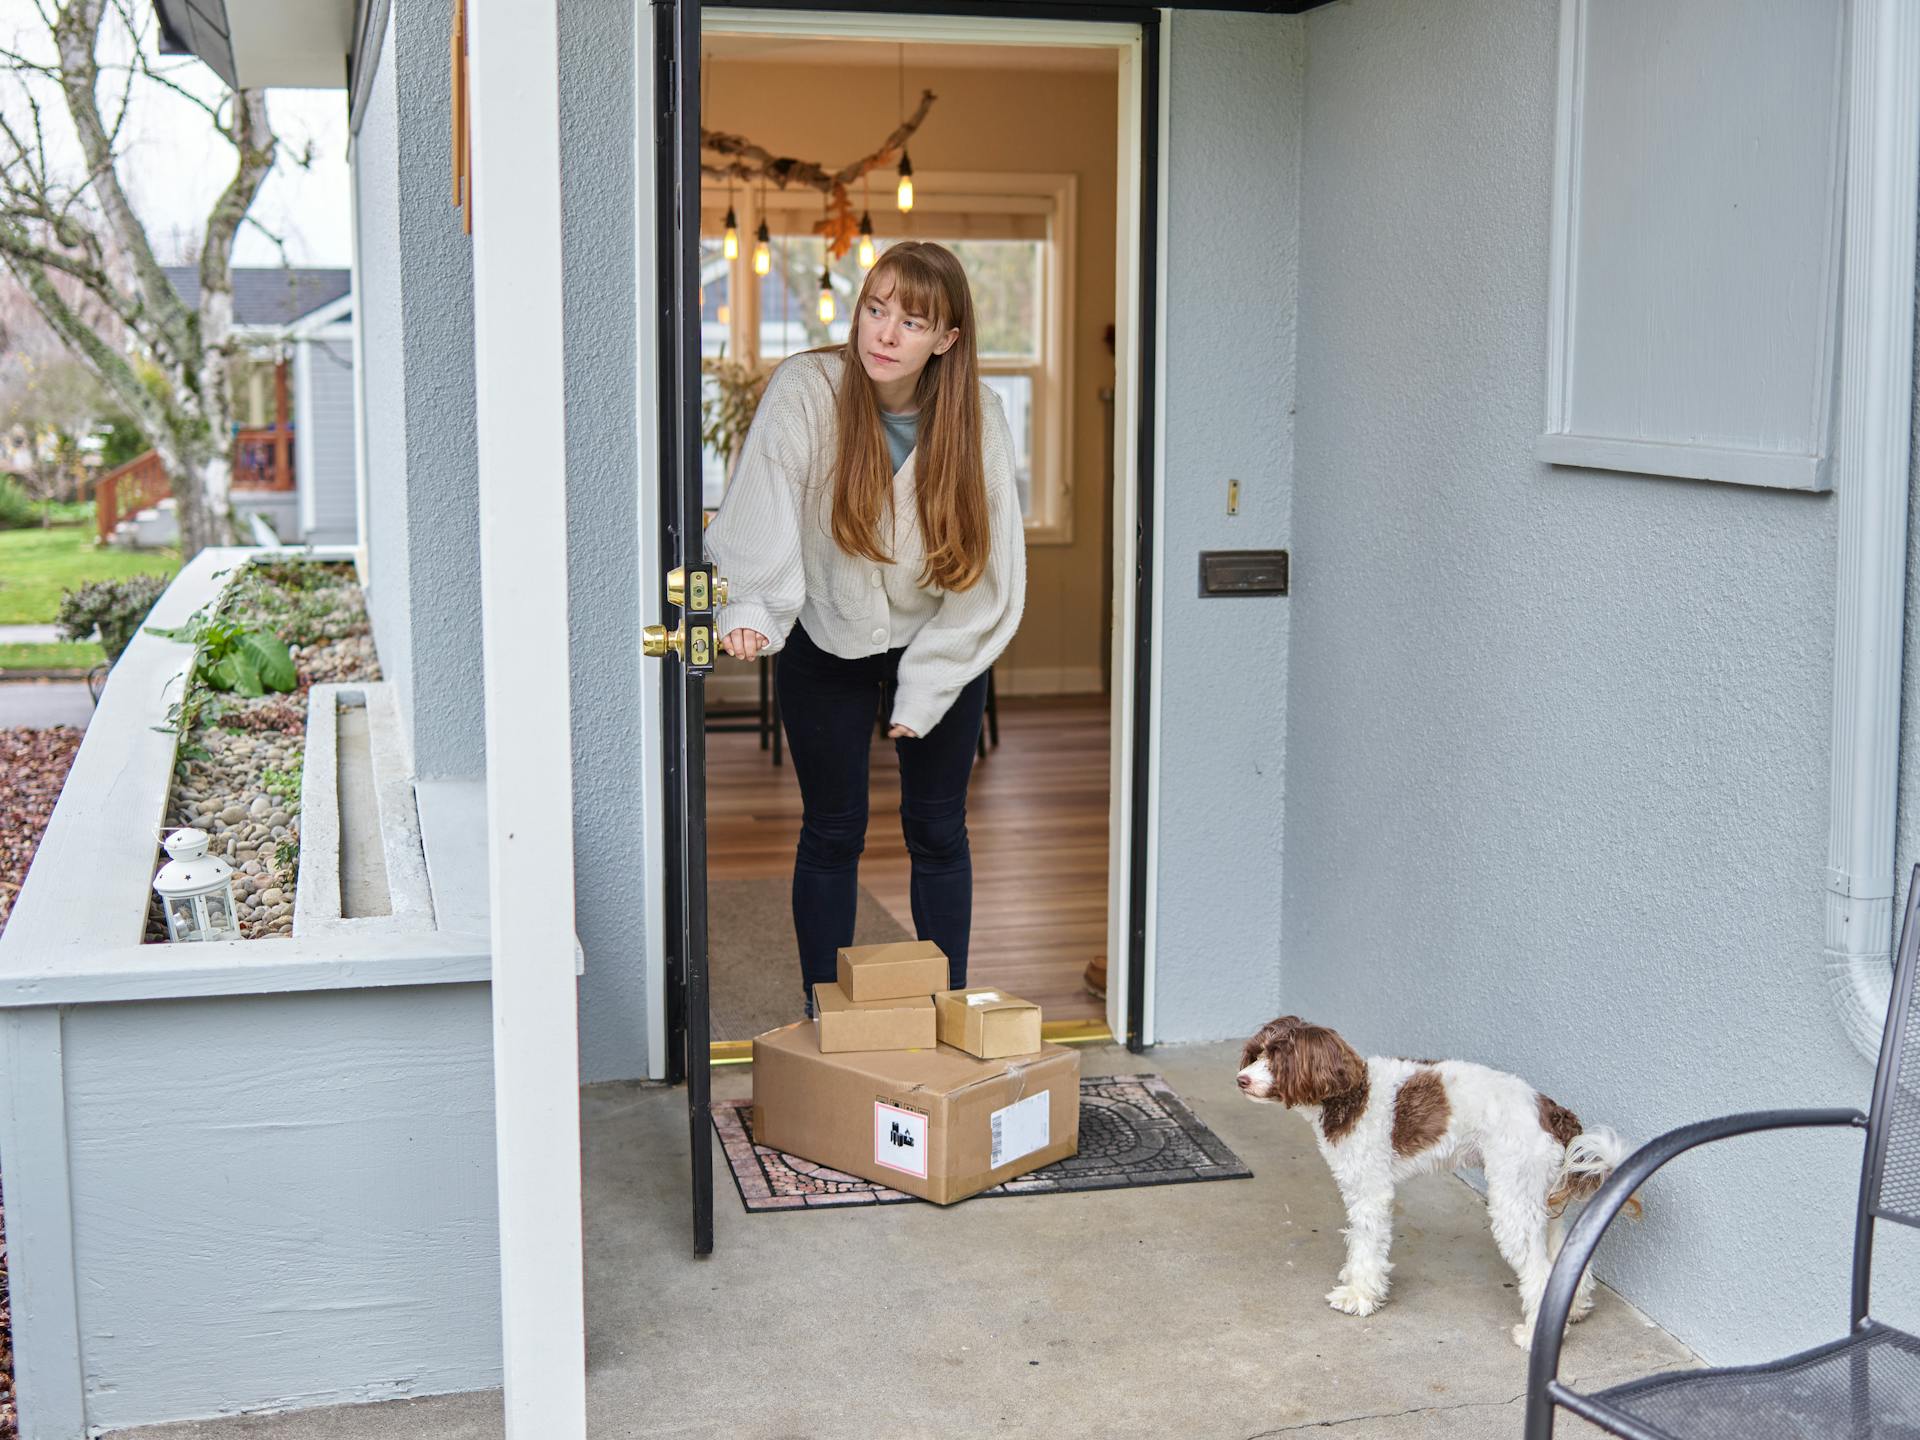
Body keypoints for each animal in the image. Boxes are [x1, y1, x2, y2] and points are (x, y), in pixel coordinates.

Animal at [1236, 1021, 1628, 1351]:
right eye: (1256, 1053)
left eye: (1279, 1057)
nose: (1240, 1079)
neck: (1351, 1094)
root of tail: (1550, 1108)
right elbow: (1357, 1240)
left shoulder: (1371, 1191)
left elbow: (1367, 1244)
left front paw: (1359, 1295)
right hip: (1536, 1198)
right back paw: (1573, 1309)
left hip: (1512, 1200)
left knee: (1541, 1273)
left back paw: (1534, 1336)